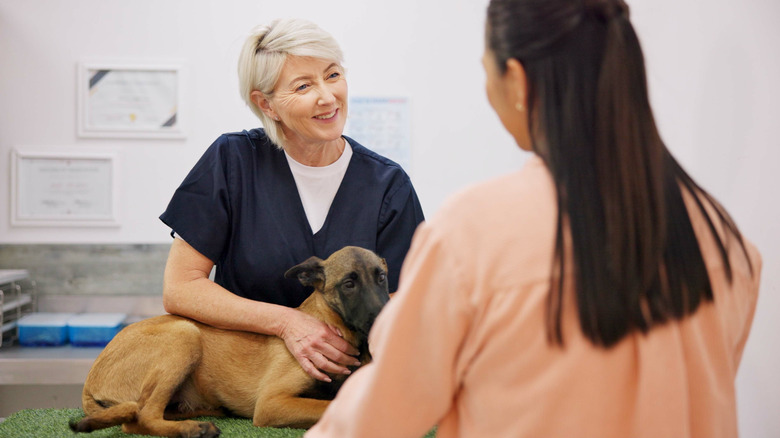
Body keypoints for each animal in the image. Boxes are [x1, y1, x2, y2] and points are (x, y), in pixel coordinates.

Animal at [69, 248, 390, 436]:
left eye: (382, 278)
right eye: (349, 284)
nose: (384, 318)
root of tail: (90, 380)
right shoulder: (272, 403)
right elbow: (329, 407)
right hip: (185, 334)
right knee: (140, 418)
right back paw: (193, 428)